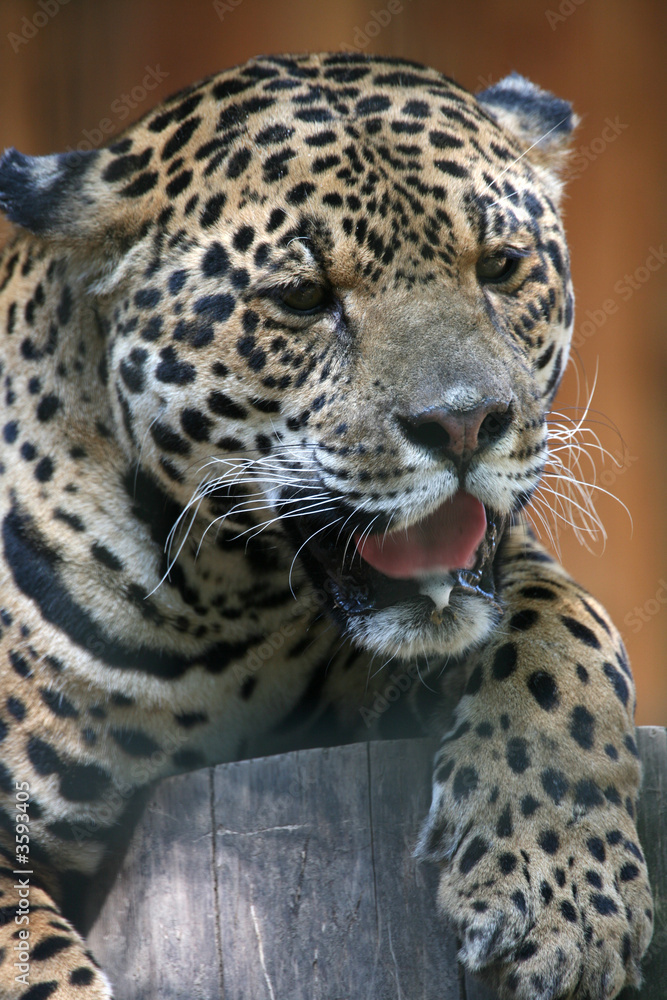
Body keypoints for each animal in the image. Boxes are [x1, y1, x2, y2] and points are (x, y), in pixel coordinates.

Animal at [0, 52, 653, 1000]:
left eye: (500, 266)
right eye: (305, 297)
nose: (465, 423)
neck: (222, 612)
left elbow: (566, 632)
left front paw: (561, 885)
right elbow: (40, 971)